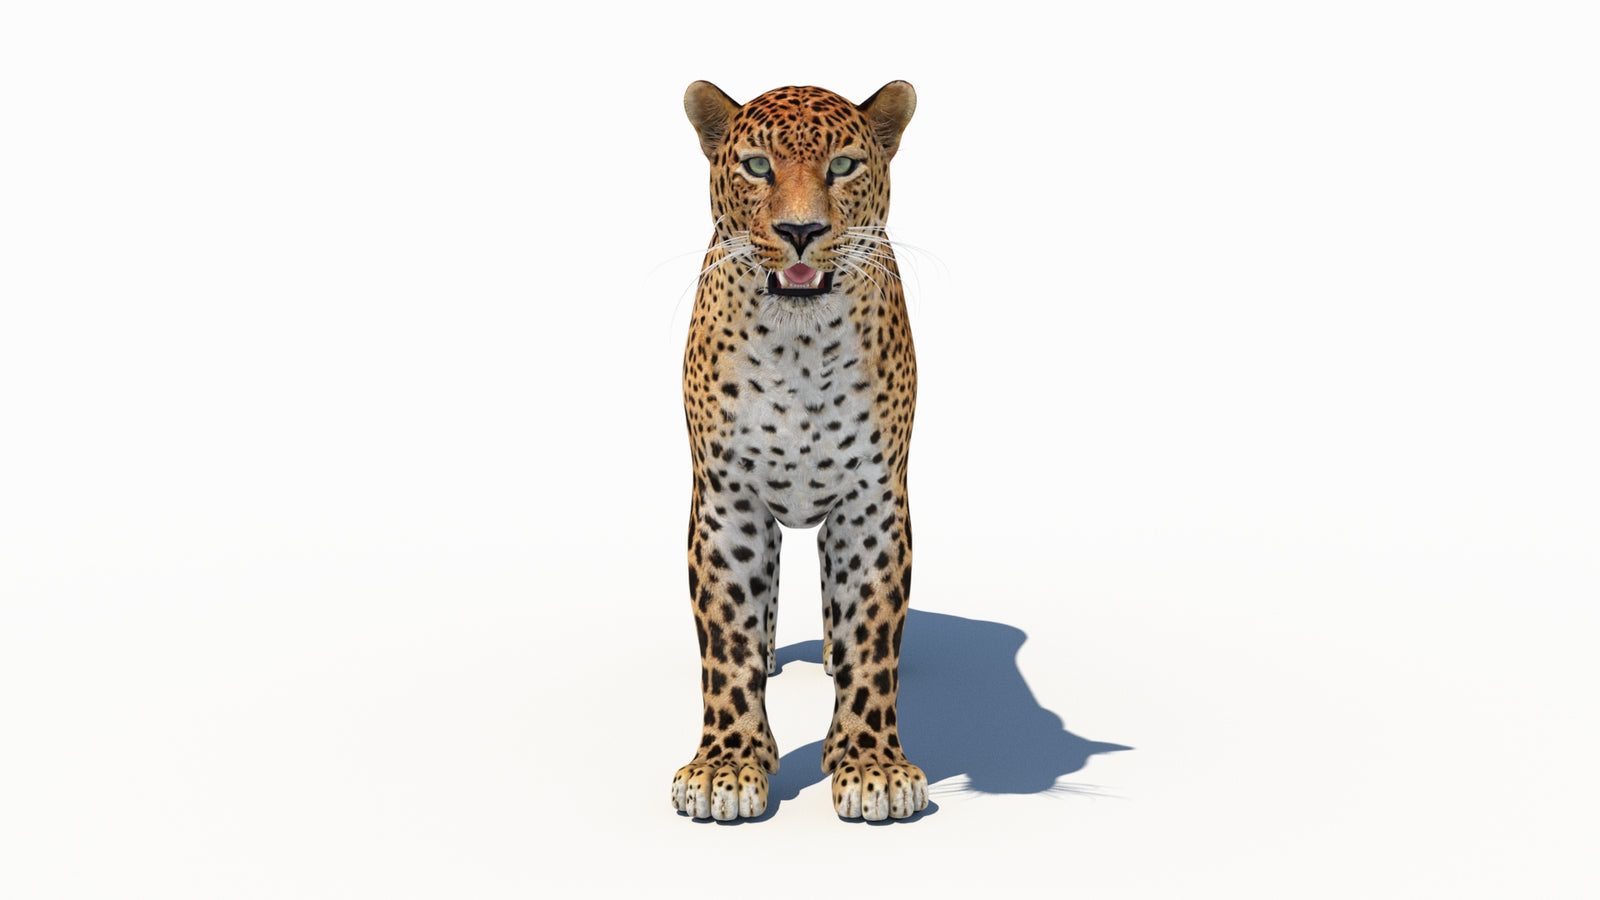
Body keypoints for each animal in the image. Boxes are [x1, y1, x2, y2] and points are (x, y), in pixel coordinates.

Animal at [670, 81, 927, 822]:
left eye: (842, 167)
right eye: (757, 167)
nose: (801, 232)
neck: (800, 347)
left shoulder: (872, 502)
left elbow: (872, 634)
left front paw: (872, 766)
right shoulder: (727, 501)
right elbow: (727, 636)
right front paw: (725, 766)